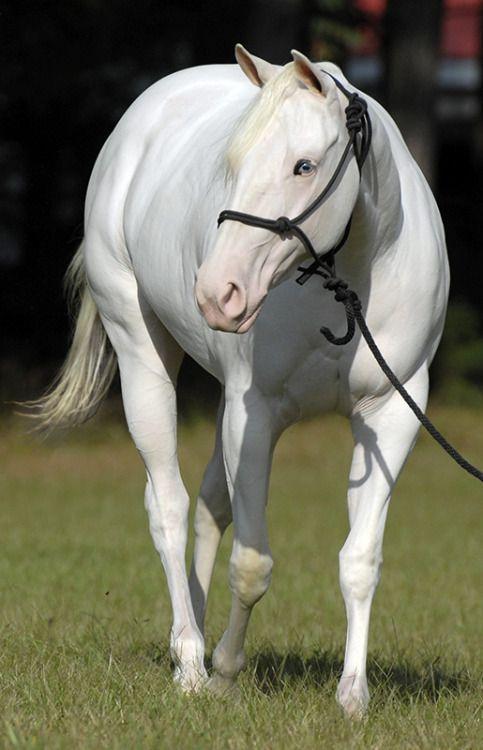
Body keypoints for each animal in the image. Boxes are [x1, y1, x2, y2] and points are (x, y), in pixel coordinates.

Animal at [34, 46, 449, 717]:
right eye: (233, 163)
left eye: (304, 165)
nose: (216, 293)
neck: (347, 281)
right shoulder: (254, 413)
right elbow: (252, 563)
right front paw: (225, 671)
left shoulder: (391, 414)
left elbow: (359, 560)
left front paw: (353, 695)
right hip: (143, 356)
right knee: (169, 508)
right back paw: (190, 661)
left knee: (207, 508)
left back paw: (197, 639)